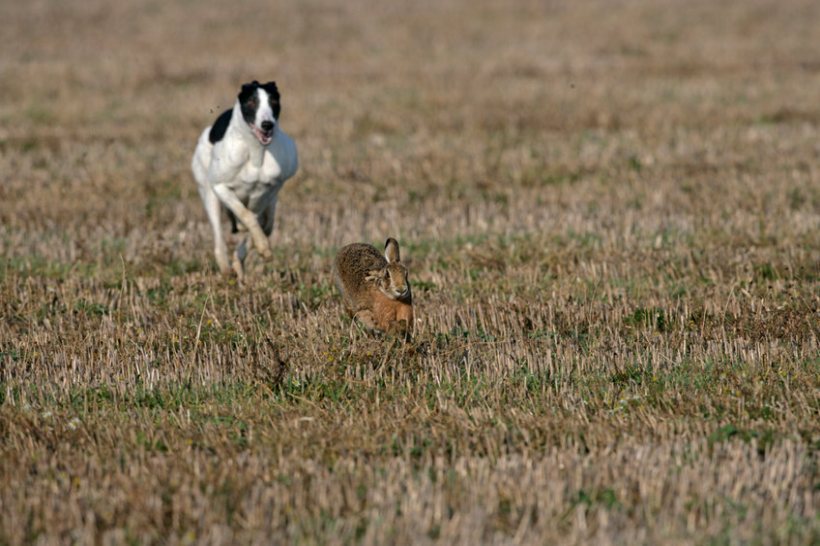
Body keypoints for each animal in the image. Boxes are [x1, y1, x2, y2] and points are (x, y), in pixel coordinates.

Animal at [190, 77, 298, 276]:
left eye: (273, 101)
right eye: (252, 102)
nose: (267, 124)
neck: (256, 152)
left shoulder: (272, 188)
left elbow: (256, 219)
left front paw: (261, 248)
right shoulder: (220, 187)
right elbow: (246, 215)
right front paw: (262, 245)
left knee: (266, 224)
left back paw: (239, 259)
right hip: (208, 195)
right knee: (220, 238)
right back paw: (227, 269)